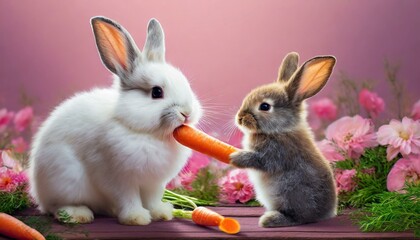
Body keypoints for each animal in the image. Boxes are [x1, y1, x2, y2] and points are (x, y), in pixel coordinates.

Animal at [28, 16, 203, 225]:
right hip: (65, 181)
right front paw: (136, 218)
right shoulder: (118, 179)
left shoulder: (154, 183)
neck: (148, 135)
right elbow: (128, 198)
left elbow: (152, 200)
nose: (187, 113)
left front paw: (161, 213)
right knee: (56, 207)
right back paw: (78, 214)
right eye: (156, 92)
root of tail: (38, 193)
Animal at [231, 52, 336, 227]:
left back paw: (270, 220)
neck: (280, 130)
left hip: (291, 189)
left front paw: (234, 158)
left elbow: (259, 160)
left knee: (299, 218)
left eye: (265, 106)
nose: (240, 118)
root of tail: (325, 214)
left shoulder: (277, 154)